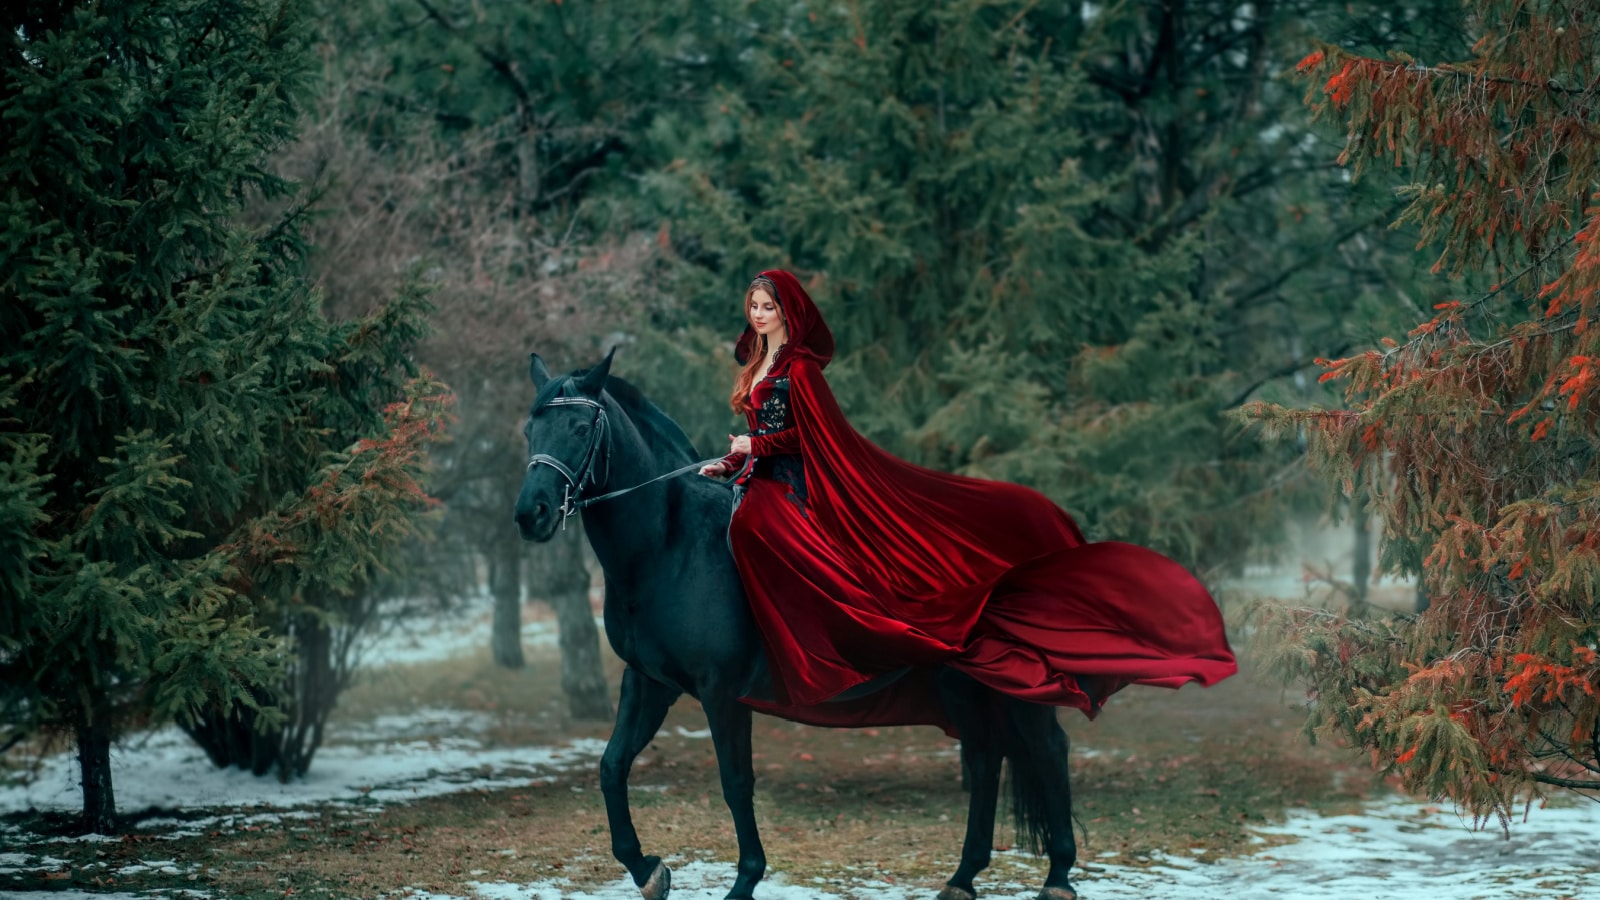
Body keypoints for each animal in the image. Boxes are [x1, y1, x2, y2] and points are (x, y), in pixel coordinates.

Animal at [512, 344, 1081, 896]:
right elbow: (612, 767)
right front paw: (648, 869)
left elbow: (735, 782)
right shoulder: (649, 682)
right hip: (962, 683)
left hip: (1015, 680)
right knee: (986, 757)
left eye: (581, 428)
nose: (530, 514)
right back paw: (963, 878)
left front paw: (745, 880)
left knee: (1048, 749)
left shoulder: (722, 691)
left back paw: (1057, 878)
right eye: (529, 430)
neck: (671, 546)